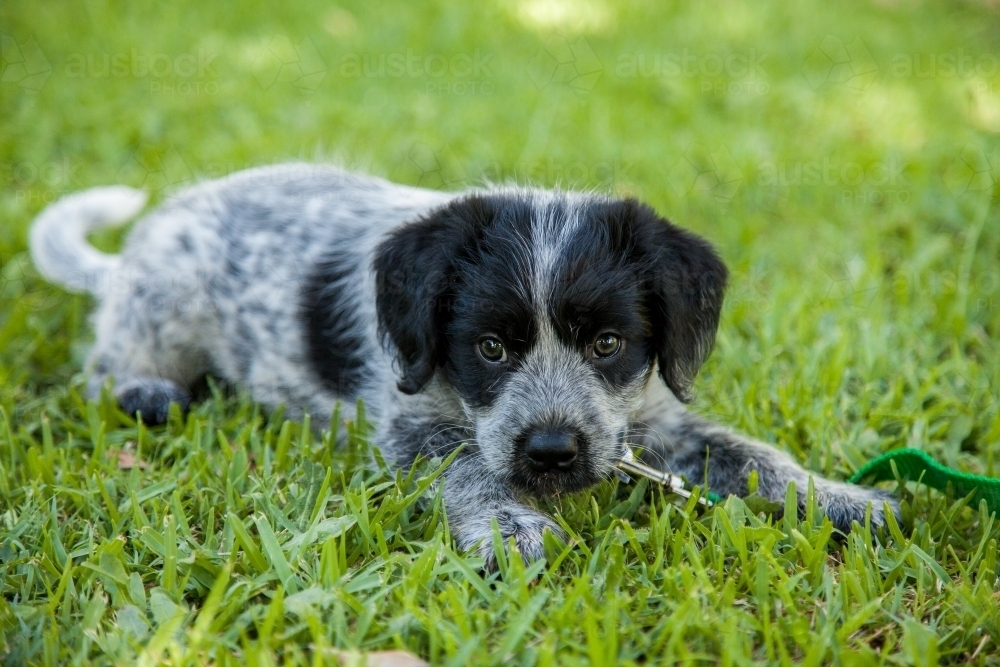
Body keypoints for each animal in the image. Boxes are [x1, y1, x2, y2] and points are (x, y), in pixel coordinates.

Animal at [29, 164, 900, 568]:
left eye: (608, 344)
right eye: (489, 348)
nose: (551, 452)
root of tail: (132, 252)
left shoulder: (650, 417)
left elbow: (749, 453)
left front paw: (841, 496)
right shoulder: (414, 429)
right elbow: (472, 468)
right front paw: (515, 528)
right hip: (164, 298)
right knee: (106, 360)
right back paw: (144, 389)